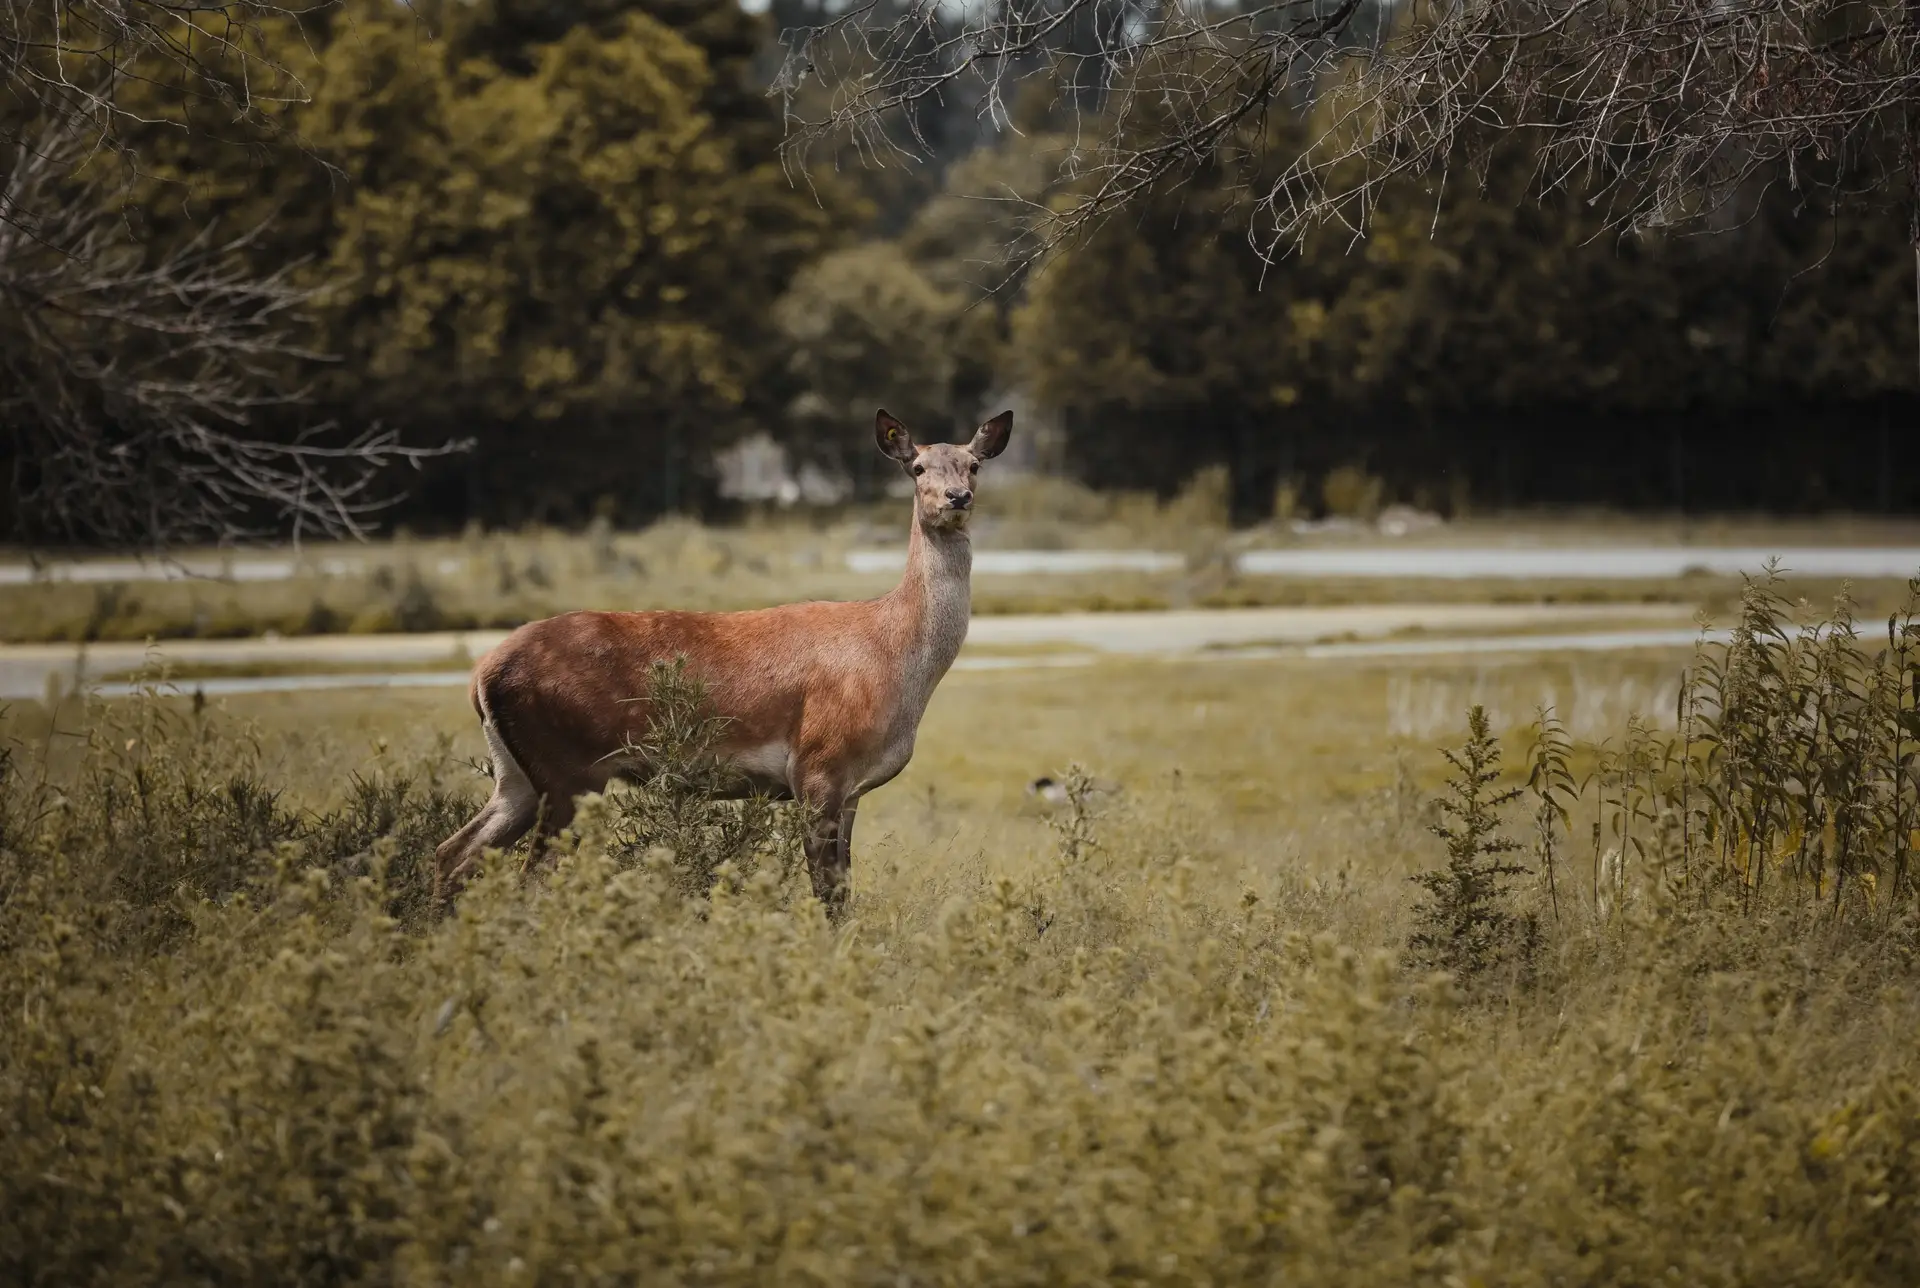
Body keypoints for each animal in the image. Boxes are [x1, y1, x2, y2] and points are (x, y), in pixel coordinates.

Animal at [433, 408, 1012, 920]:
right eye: (917, 467)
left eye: (973, 465)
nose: (957, 497)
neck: (894, 660)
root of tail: (482, 676)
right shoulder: (818, 765)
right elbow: (826, 892)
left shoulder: (850, 788)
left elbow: (843, 888)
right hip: (568, 767)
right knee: (527, 873)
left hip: (516, 774)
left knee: (453, 853)